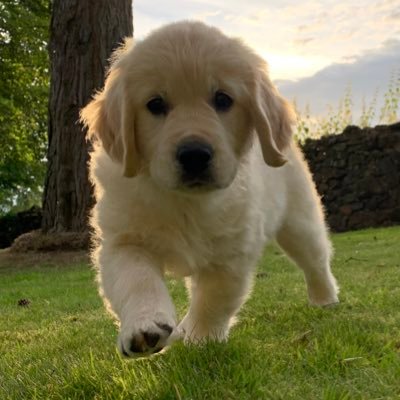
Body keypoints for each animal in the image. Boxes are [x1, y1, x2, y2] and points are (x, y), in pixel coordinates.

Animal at [81, 20, 338, 358]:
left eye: (223, 99)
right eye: (155, 104)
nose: (194, 155)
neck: (185, 202)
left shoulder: (231, 251)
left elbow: (214, 299)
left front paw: (199, 338)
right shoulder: (124, 240)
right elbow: (137, 280)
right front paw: (144, 328)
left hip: (299, 220)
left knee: (316, 258)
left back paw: (325, 298)